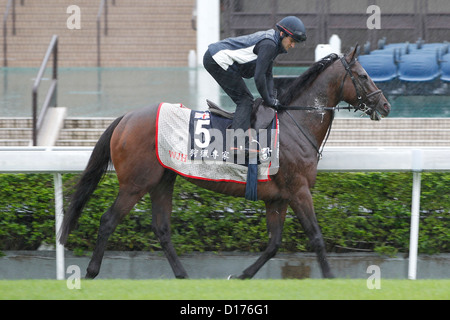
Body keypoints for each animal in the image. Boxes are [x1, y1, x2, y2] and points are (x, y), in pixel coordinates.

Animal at [59, 46, 390, 278]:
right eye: (363, 75)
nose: (385, 105)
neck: (295, 123)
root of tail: (125, 118)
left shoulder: (278, 198)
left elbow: (274, 244)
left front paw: (242, 275)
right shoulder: (298, 190)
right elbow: (316, 237)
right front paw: (331, 277)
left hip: (162, 180)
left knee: (162, 229)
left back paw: (183, 276)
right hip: (135, 184)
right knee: (108, 220)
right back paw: (91, 272)